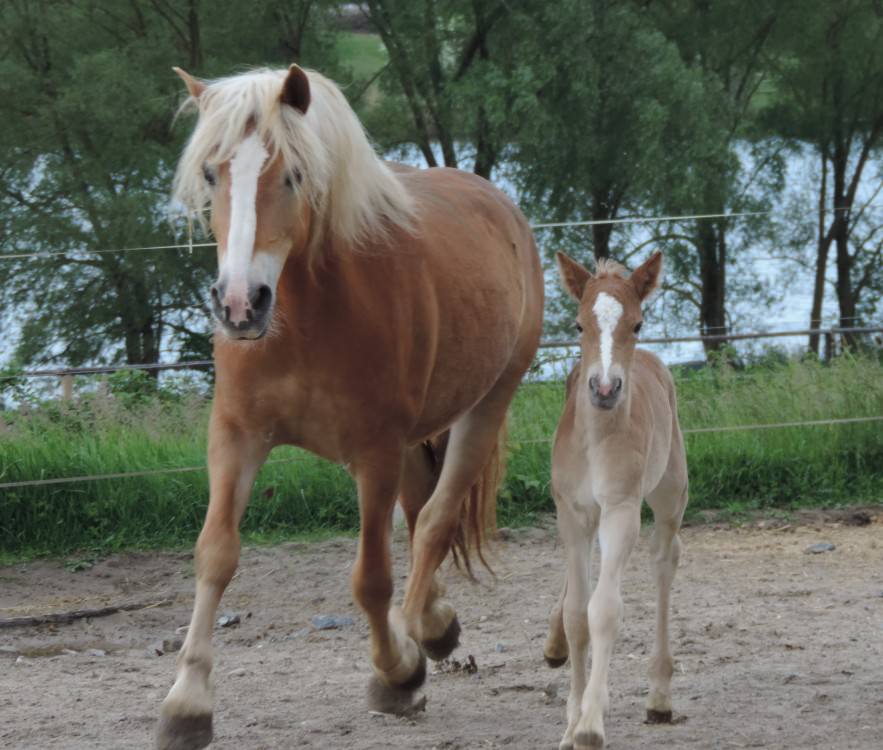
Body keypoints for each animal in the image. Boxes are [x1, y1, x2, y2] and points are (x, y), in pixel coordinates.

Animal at [160, 66, 544, 750]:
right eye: (211, 172)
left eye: (293, 174)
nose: (240, 305)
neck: (309, 316)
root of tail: (500, 205)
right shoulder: (235, 436)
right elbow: (216, 555)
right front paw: (187, 704)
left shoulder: (374, 453)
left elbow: (370, 579)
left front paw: (397, 674)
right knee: (421, 513)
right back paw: (437, 621)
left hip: (486, 404)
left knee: (437, 518)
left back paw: (422, 635)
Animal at [544, 254, 692, 750]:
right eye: (577, 325)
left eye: (638, 324)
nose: (605, 389)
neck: (595, 440)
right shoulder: (572, 514)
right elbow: (577, 615)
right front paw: (572, 721)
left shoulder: (621, 511)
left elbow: (604, 610)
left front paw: (589, 726)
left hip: (669, 493)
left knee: (664, 560)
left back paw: (659, 697)